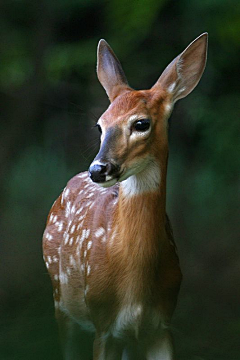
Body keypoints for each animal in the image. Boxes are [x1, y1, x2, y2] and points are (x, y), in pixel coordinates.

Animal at [43, 32, 208, 358]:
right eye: (100, 125)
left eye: (141, 123)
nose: (98, 169)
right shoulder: (103, 324)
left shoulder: (161, 325)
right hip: (60, 299)